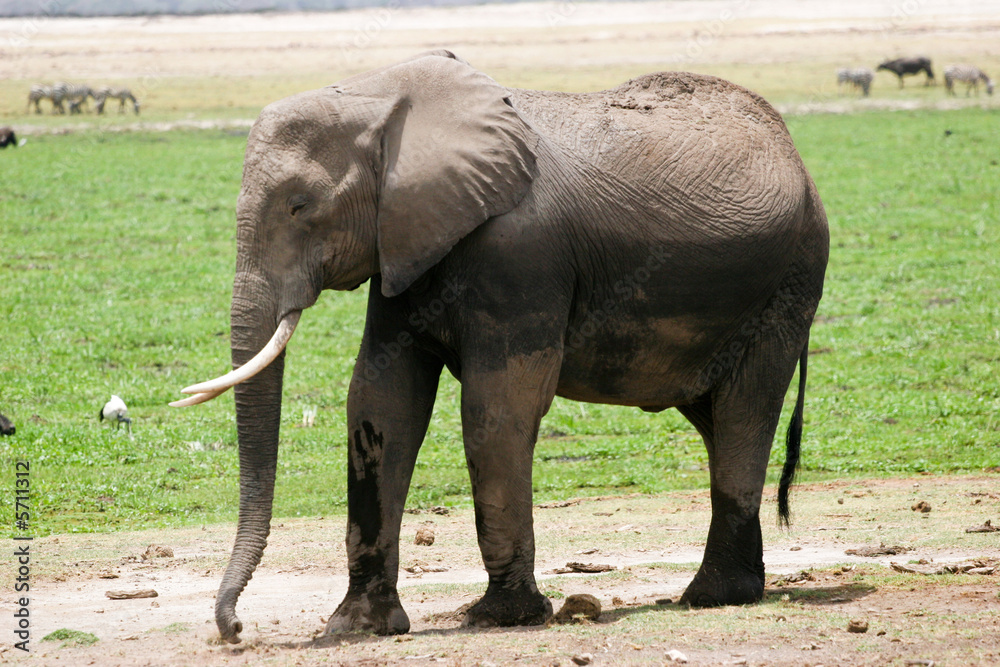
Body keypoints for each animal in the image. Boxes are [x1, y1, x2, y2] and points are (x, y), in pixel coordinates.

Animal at [172, 51, 829, 642]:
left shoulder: (521, 254)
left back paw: (711, 598)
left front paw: (500, 618)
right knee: (716, 419)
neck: (382, 95)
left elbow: (497, 407)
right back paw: (733, 589)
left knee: (744, 413)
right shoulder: (405, 243)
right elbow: (382, 401)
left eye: (300, 205)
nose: (234, 629)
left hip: (788, 284)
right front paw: (358, 628)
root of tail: (794, 153)